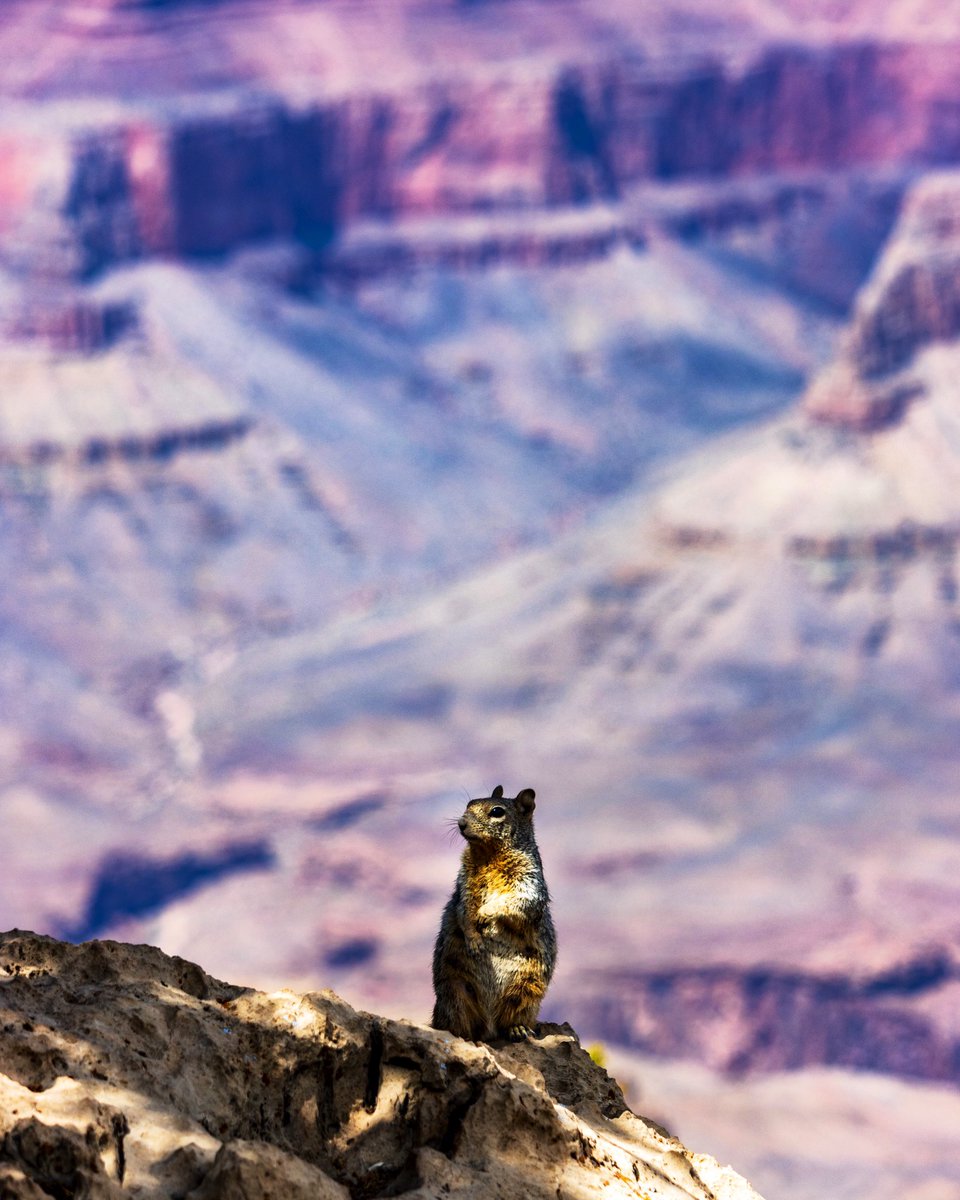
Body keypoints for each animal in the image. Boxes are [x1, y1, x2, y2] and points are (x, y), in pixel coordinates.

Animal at [431, 785, 557, 1042]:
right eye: (469, 804)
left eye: (497, 811)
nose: (461, 823)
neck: (488, 855)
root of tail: (488, 1028)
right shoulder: (465, 884)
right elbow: (464, 911)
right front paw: (475, 941)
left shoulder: (529, 881)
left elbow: (518, 902)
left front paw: (487, 912)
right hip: (453, 991)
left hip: (527, 989)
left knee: (510, 1018)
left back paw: (517, 1029)